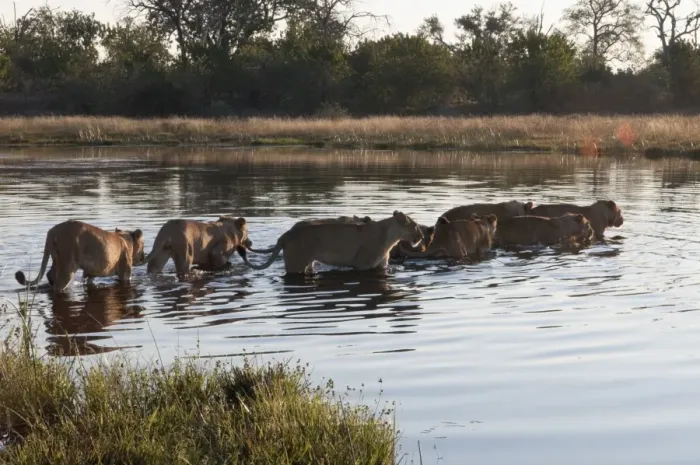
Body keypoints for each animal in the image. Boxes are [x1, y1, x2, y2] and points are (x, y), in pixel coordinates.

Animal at [15, 220, 145, 293]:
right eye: (143, 244)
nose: (143, 257)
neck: (125, 238)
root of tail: (52, 232)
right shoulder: (125, 273)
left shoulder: (90, 272)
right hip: (68, 266)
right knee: (57, 286)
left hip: (57, 260)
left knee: (50, 275)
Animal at [244, 211, 424, 274]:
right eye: (415, 226)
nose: (421, 237)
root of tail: (285, 235)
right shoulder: (362, 266)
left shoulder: (381, 266)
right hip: (296, 265)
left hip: (308, 263)